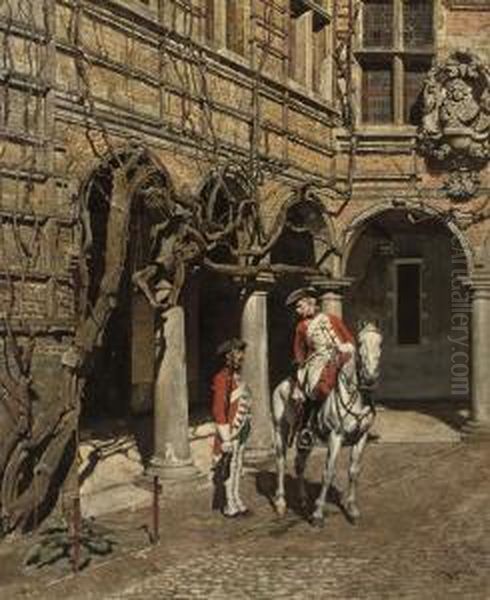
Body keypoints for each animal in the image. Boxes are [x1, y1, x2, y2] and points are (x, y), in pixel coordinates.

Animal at [272, 324, 382, 524]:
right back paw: (281, 503)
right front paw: (317, 514)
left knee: (299, 464)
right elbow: (328, 473)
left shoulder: (361, 437)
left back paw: (302, 500)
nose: (370, 378)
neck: (357, 396)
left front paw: (352, 509)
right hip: (279, 429)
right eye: (360, 343)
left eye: (380, 343)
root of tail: (281, 384)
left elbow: (354, 471)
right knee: (281, 462)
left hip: (306, 438)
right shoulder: (335, 437)